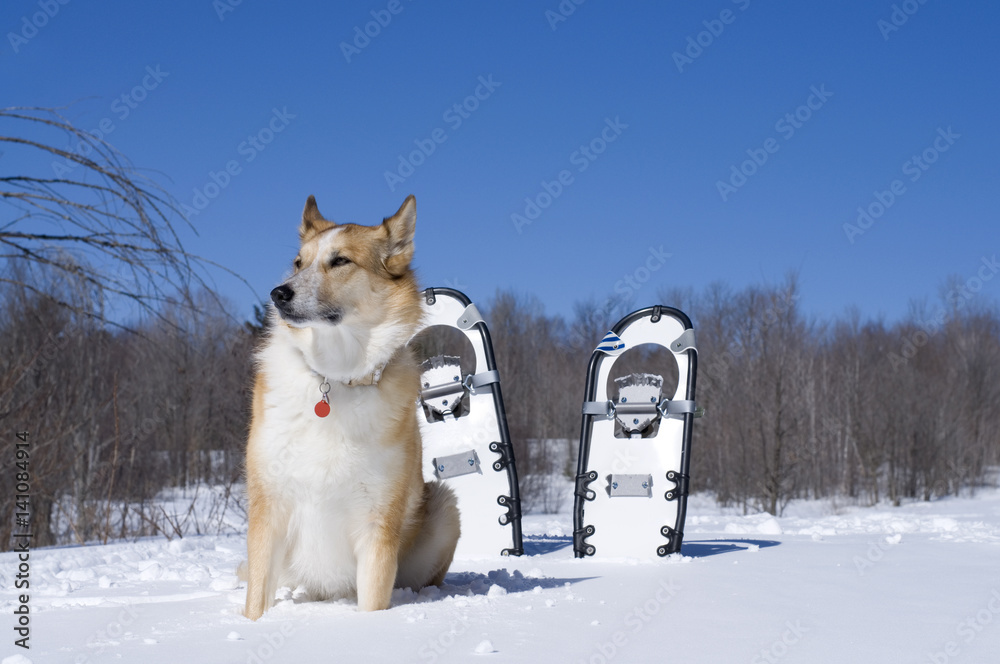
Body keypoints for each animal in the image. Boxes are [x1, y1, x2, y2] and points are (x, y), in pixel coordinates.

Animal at [242, 195, 460, 620]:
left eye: (340, 261)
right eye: (299, 262)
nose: (279, 294)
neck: (336, 378)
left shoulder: (377, 521)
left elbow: (372, 604)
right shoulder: (268, 507)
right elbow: (255, 602)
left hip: (445, 507)